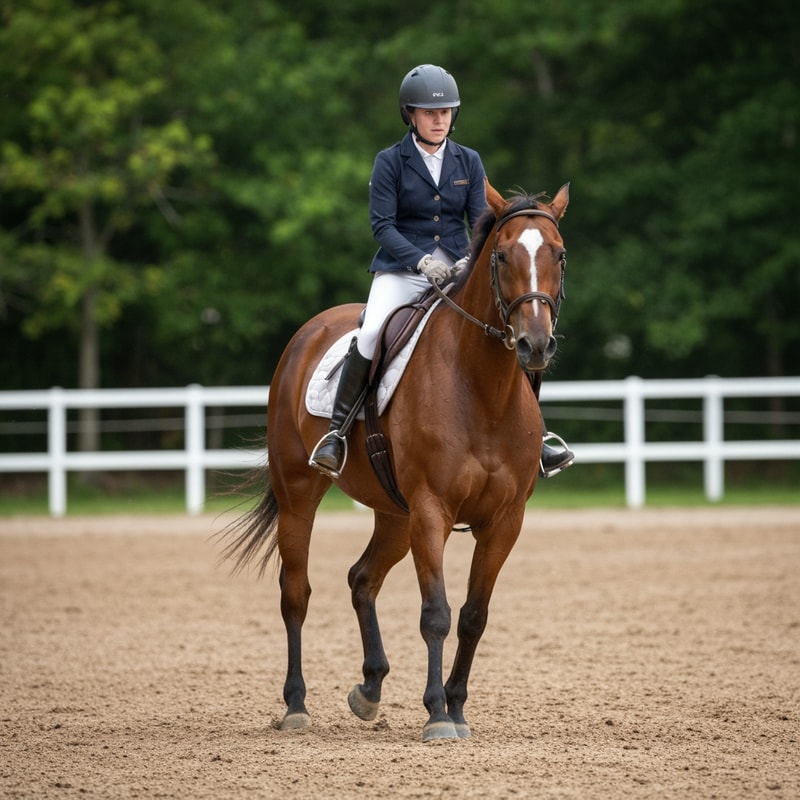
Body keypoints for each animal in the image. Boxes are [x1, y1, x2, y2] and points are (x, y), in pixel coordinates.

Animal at [220, 180, 570, 742]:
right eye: (501, 255)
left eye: (558, 254)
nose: (534, 344)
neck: (483, 389)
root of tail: (310, 330)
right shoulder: (431, 511)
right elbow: (436, 614)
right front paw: (437, 715)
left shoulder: (504, 521)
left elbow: (474, 615)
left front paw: (456, 707)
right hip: (301, 495)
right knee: (295, 592)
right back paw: (296, 705)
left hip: (393, 516)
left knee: (362, 578)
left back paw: (369, 688)